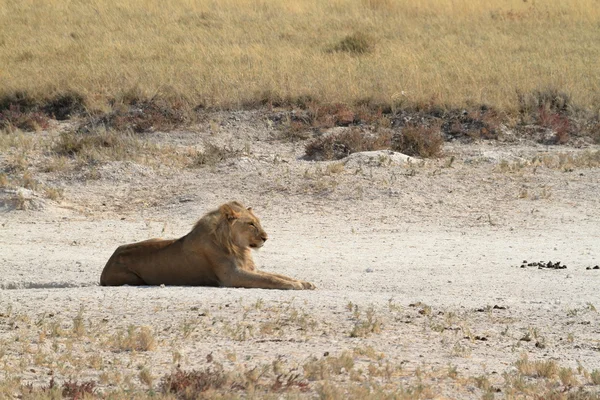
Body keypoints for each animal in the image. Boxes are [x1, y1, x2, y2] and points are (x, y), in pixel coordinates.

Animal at [99, 202, 314, 290]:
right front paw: (295, 285)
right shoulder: (233, 276)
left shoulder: (248, 269)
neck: (238, 246)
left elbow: (278, 275)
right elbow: (270, 279)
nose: (266, 238)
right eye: (251, 224)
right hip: (131, 278)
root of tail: (110, 259)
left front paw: (304, 282)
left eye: (258, 222)